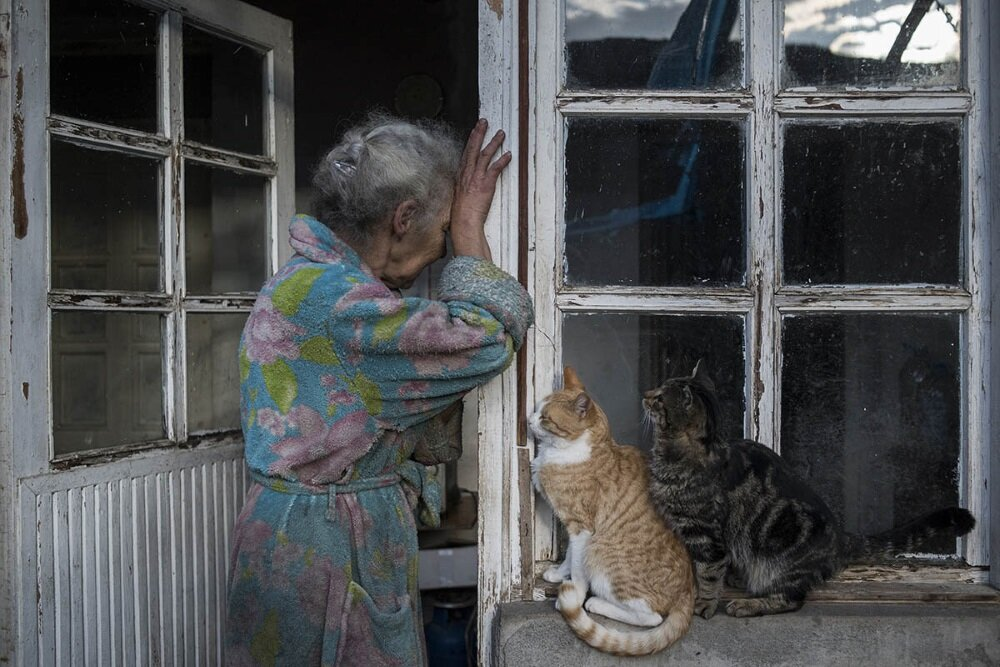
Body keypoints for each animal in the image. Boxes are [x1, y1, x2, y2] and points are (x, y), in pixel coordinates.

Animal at [532, 370, 696, 656]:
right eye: (536, 410)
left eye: (545, 418)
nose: (528, 420)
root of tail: (688, 593)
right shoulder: (574, 528)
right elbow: (569, 557)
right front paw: (558, 574)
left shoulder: (582, 528)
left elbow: (578, 568)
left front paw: (573, 595)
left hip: (599, 552)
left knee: (651, 617)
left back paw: (595, 603)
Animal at [644, 362, 972, 620]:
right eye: (656, 389)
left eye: (660, 397)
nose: (646, 395)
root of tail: (842, 538)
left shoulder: (705, 534)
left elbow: (708, 573)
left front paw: (703, 604)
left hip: (781, 561)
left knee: (792, 600)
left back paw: (748, 605)